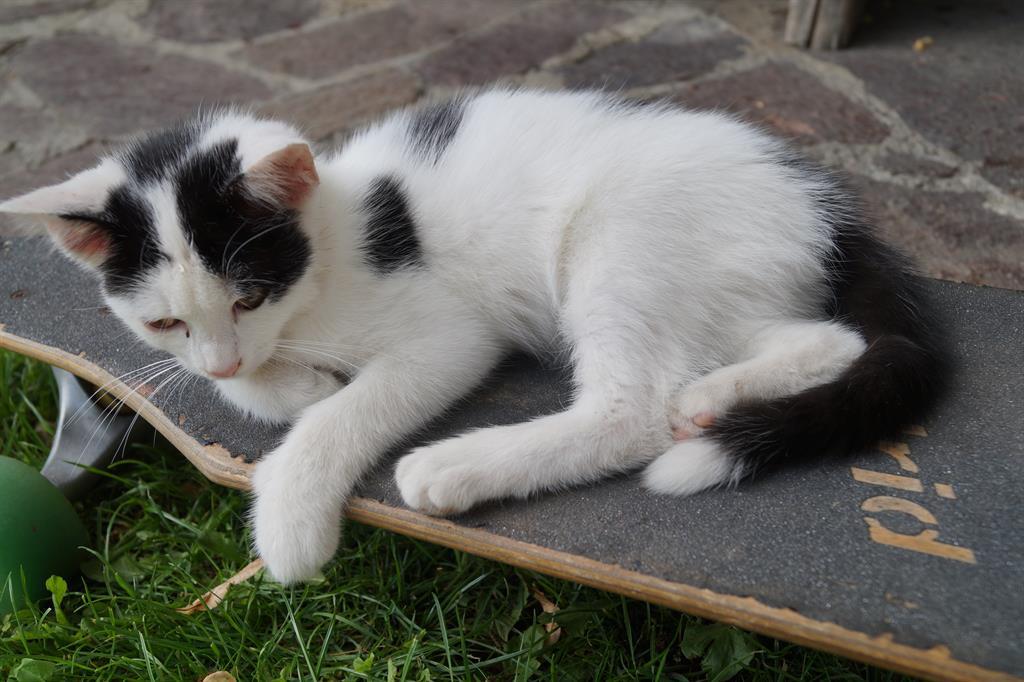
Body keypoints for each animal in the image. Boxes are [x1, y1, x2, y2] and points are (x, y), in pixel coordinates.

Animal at [1, 89, 947, 583]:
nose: (228, 352)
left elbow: (348, 408)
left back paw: (460, 465)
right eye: (164, 321)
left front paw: (292, 515)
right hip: (726, 281)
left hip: (623, 234)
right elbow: (251, 388)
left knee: (632, 410)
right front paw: (287, 385)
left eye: (249, 294)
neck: (333, 249)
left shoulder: (447, 334)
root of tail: (819, 204)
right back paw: (713, 395)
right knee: (829, 341)